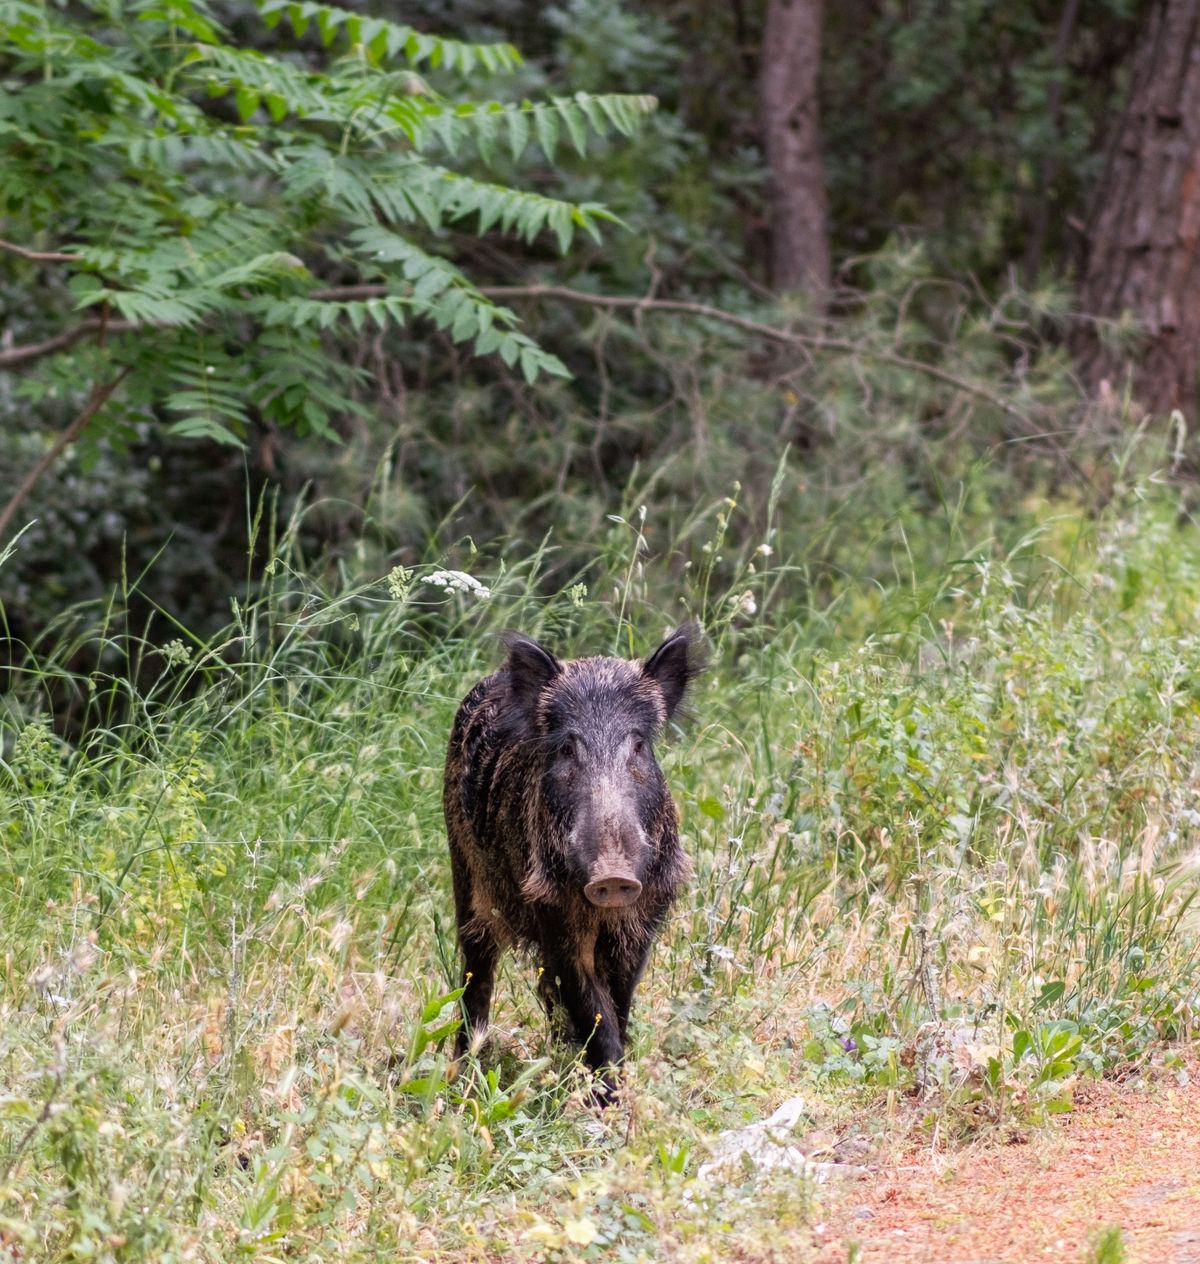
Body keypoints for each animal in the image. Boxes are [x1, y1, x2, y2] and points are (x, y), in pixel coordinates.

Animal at [443, 623, 700, 1099]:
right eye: (566, 749)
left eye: (639, 745)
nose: (613, 874)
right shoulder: (552, 914)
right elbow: (592, 1011)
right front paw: (609, 1099)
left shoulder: (645, 918)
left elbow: (617, 1003)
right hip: (465, 878)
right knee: (476, 975)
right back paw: (461, 1076)